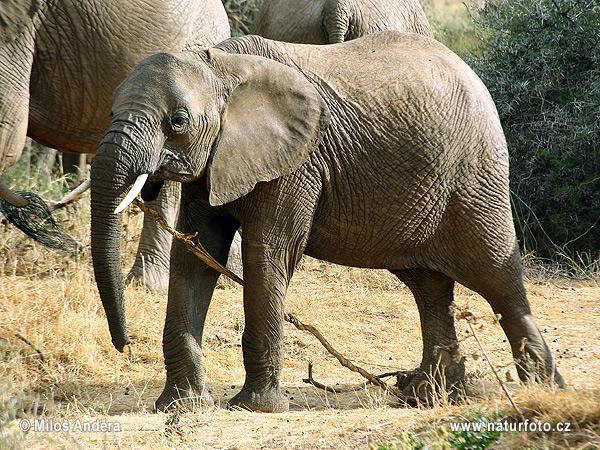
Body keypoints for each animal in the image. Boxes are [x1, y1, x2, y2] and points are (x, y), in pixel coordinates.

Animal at [88, 30, 564, 412]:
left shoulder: (297, 161)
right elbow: (195, 257)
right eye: (110, 111)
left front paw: (255, 408)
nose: (123, 344)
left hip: (475, 175)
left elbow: (267, 255)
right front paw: (178, 405)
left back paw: (542, 389)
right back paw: (431, 396)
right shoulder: (215, 161)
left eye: (178, 121)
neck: (220, 63)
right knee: (429, 287)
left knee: (496, 277)